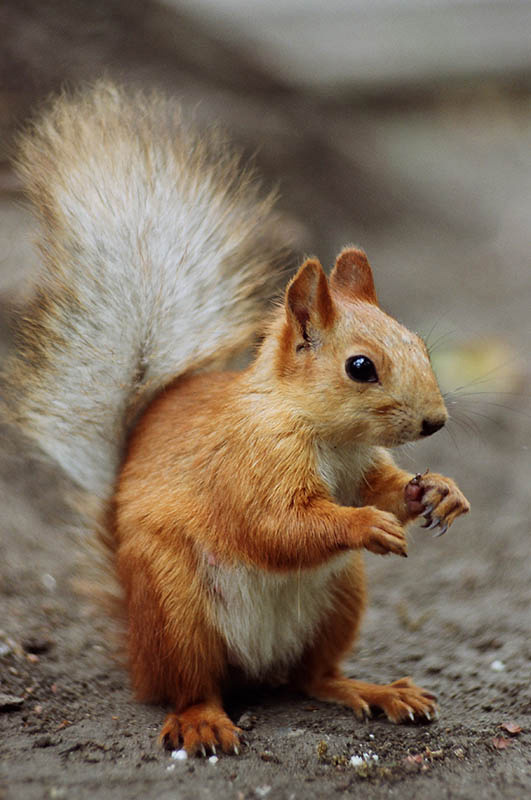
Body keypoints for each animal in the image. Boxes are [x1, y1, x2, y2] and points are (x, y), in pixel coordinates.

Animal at [2, 82, 470, 756]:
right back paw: (202, 720)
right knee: (192, 685)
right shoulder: (249, 462)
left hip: (340, 598)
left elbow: (380, 488)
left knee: (312, 676)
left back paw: (372, 690)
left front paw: (436, 491)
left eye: (419, 344)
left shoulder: (358, 465)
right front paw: (364, 523)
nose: (435, 422)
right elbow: (275, 525)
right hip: (176, 609)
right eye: (360, 367)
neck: (323, 432)